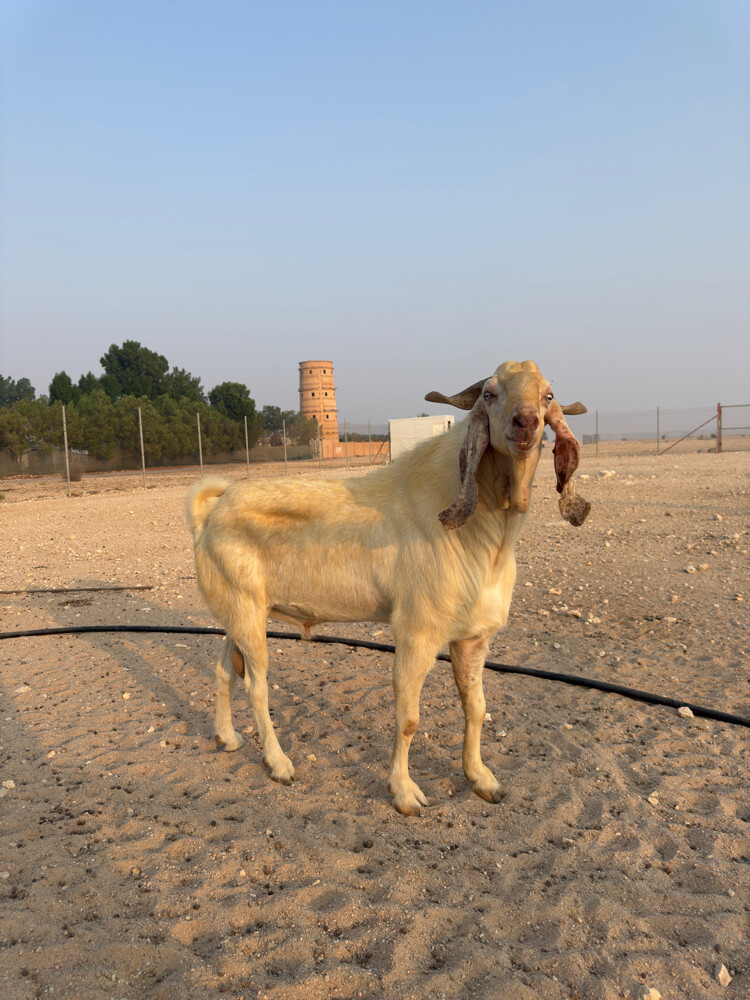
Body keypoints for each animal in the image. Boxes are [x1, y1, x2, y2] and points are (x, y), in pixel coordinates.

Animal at [186, 360, 590, 815]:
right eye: (489, 394)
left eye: (548, 396)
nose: (526, 423)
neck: (489, 537)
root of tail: (210, 511)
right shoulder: (417, 631)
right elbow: (409, 718)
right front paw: (404, 792)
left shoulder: (473, 637)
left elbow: (476, 707)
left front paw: (482, 778)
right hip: (248, 611)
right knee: (256, 687)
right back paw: (279, 763)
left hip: (237, 612)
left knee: (223, 671)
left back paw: (227, 738)